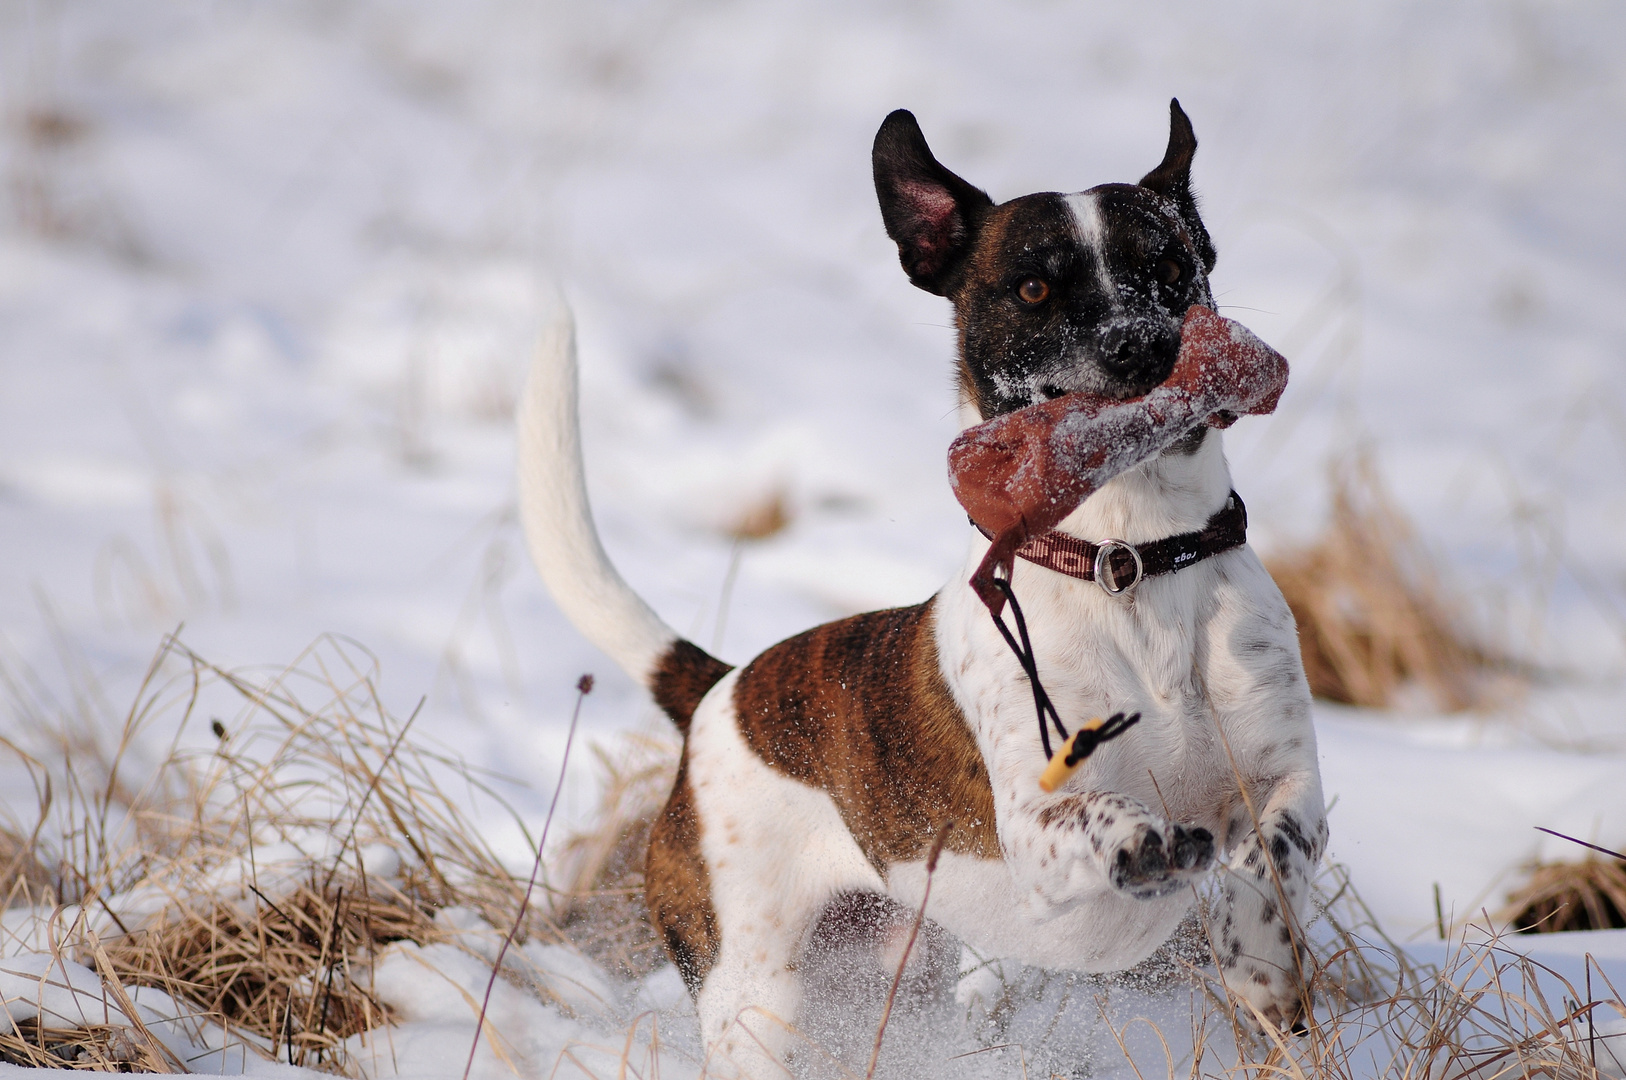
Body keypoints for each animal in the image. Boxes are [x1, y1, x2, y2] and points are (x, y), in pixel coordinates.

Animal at [520, 99, 1333, 1073]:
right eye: (1034, 289)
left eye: (1172, 266)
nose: (1138, 345)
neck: (1130, 562)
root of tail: (718, 689)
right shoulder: (1032, 823)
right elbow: (1102, 818)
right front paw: (1142, 843)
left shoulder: (1285, 775)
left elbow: (1276, 848)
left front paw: (1258, 960)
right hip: (757, 997)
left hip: (883, 981)